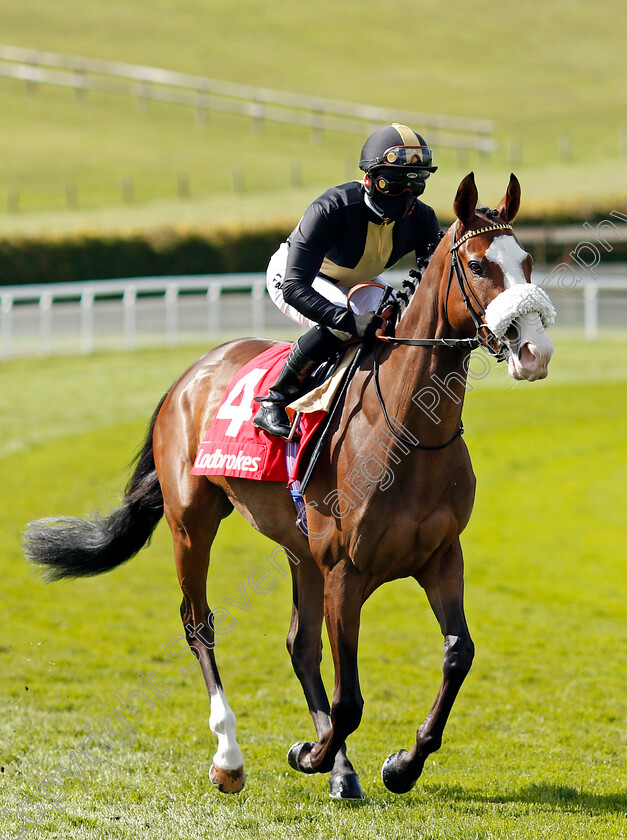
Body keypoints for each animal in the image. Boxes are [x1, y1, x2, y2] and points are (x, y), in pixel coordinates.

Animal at [23, 172, 556, 800]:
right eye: (477, 265)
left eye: (527, 261)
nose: (535, 351)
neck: (409, 429)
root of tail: (191, 373)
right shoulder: (345, 569)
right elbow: (349, 698)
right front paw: (311, 755)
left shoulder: (440, 556)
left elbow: (458, 655)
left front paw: (400, 764)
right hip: (193, 524)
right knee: (199, 625)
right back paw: (230, 757)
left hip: (300, 549)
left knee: (300, 645)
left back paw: (340, 769)